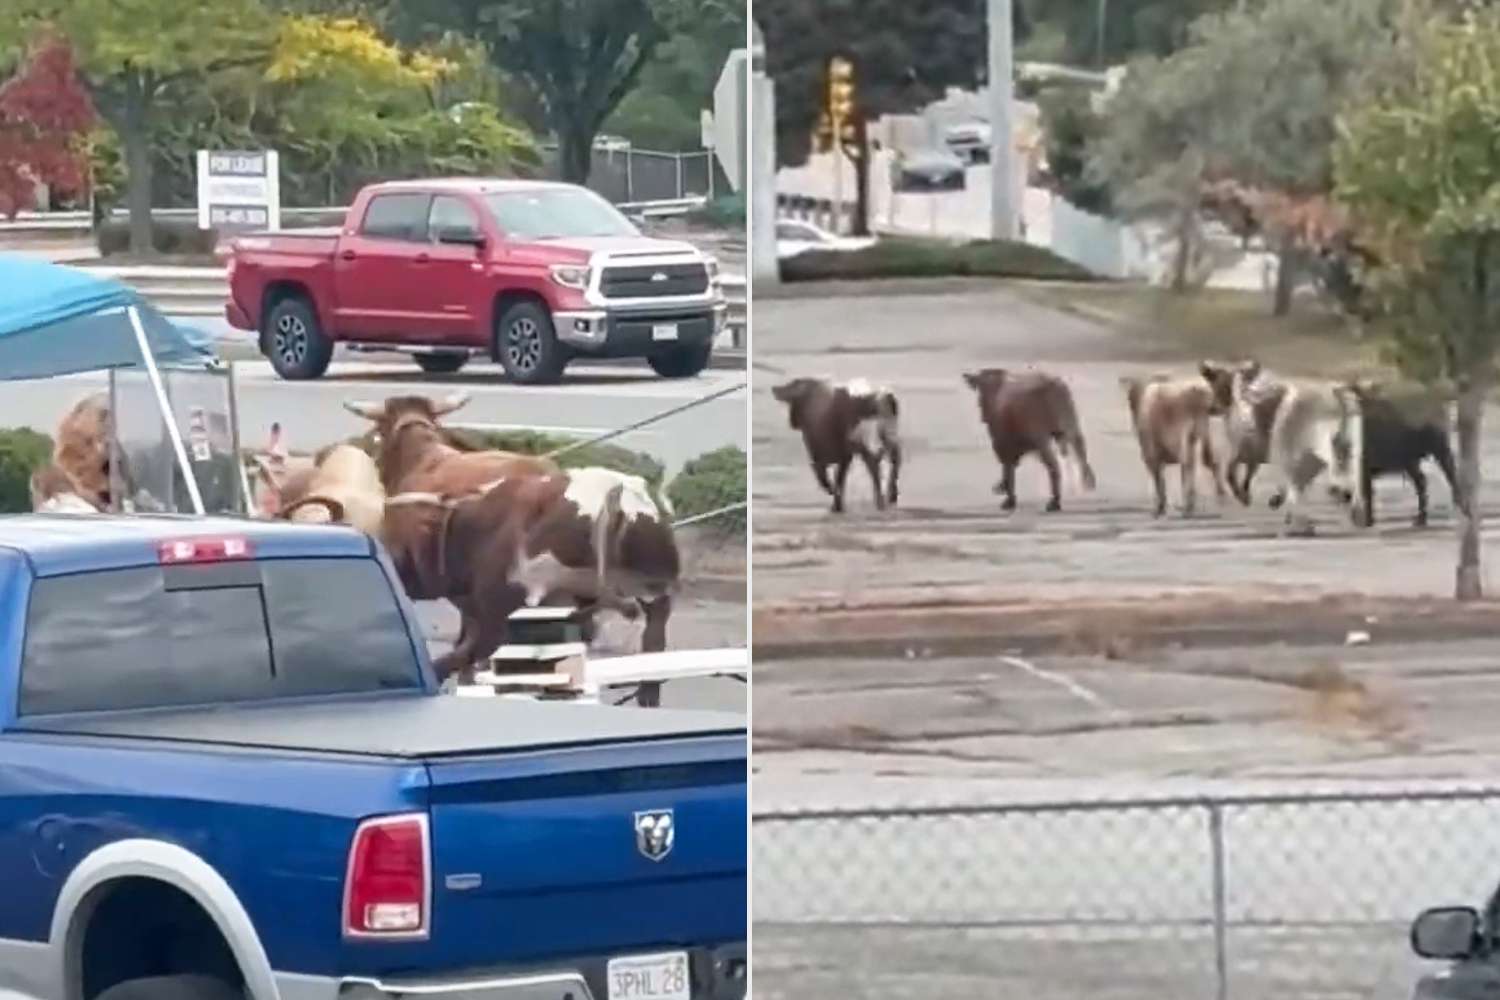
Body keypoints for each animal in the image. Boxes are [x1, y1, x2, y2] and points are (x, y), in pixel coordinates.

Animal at [768, 377, 894, 515]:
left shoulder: (827, 456)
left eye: (791, 386)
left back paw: (882, 500)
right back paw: (884, 500)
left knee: (876, 466)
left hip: (866, 444)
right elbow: (837, 480)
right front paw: (837, 505)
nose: (774, 388)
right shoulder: (841, 457)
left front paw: (834, 498)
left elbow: (829, 478)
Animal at [966, 367, 1098, 512]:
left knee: (1054, 466)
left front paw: (1009, 499)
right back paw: (1088, 482)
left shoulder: (1001, 442)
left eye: (980, 392)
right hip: (1071, 424)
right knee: (1081, 453)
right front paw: (1003, 488)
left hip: (1041, 438)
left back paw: (1054, 502)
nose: (983, 417)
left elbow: (1008, 468)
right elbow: (1010, 467)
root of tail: (1051, 386)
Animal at [1122, 373, 1224, 521]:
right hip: (1201, 433)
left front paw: (1159, 508)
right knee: (1209, 461)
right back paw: (1219, 497)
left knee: (1188, 465)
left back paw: (1187, 507)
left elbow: (1159, 480)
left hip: (1181, 438)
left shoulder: (1150, 453)